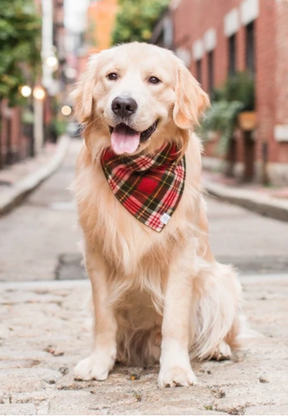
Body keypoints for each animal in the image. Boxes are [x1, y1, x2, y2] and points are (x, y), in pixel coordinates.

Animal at [71, 41, 242, 388]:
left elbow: (175, 319)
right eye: (112, 76)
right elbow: (104, 317)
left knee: (221, 329)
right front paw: (100, 362)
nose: (123, 104)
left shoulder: (182, 252)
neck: (138, 171)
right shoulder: (96, 252)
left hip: (220, 281)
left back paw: (217, 348)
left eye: (154, 80)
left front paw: (175, 368)